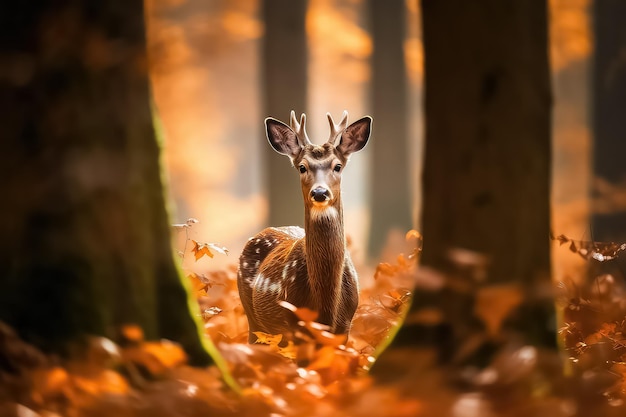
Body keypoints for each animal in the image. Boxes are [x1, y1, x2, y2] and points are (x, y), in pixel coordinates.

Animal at [236, 109, 368, 342]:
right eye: (302, 167)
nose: (320, 192)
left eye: (337, 166)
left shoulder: (345, 327)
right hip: (252, 318)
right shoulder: (294, 325)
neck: (326, 307)